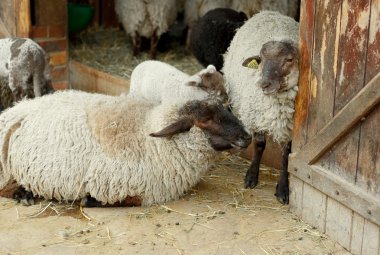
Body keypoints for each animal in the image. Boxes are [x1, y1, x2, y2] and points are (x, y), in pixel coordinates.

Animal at [0, 90, 252, 206]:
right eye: (207, 119)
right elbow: (124, 198)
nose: (247, 136)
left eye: (227, 108)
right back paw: (24, 195)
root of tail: (14, 112)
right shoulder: (122, 185)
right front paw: (89, 200)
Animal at [223, 10, 300, 204]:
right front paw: (251, 177)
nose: (263, 84)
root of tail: (267, 12)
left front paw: (283, 189)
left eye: (289, 59)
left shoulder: (291, 127)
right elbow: (258, 145)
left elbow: (286, 156)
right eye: (261, 60)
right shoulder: (255, 117)